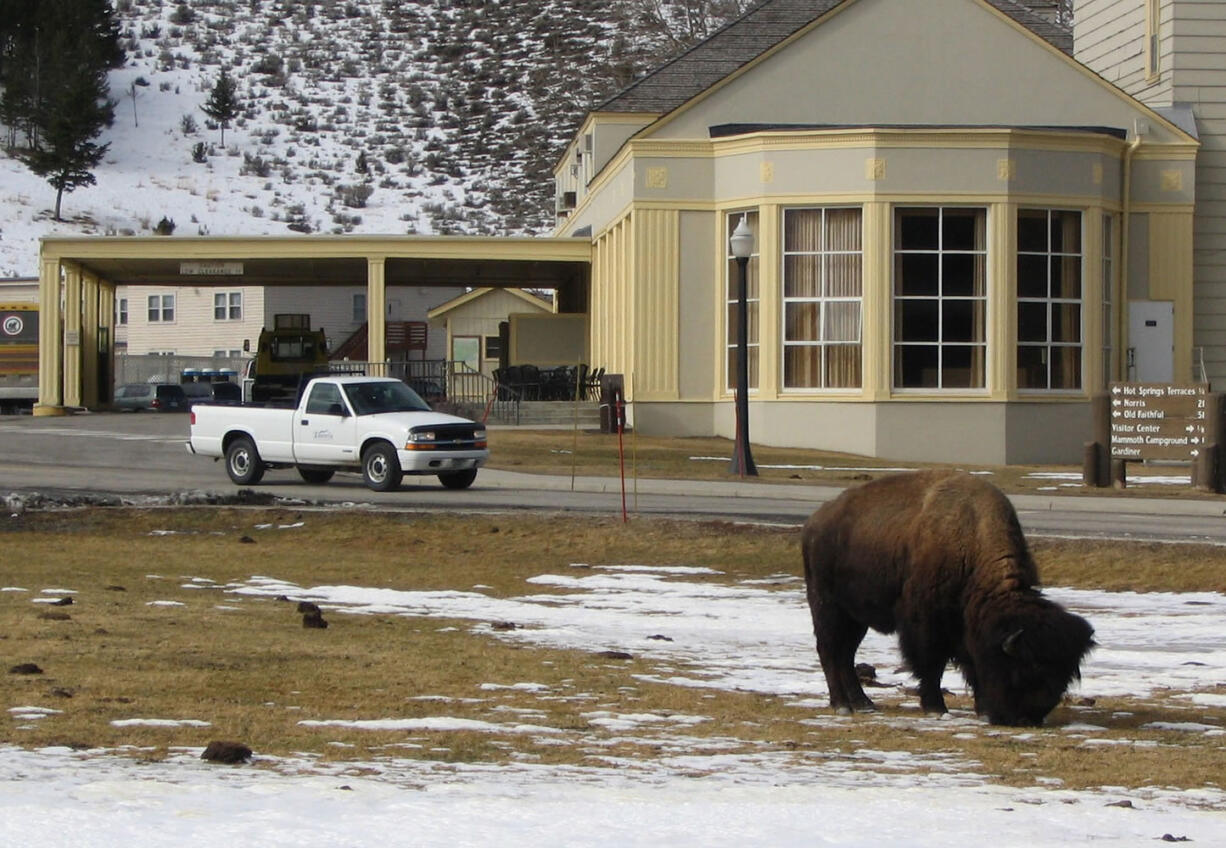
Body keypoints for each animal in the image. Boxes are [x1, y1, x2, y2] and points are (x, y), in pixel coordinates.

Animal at [799, 468, 1098, 725]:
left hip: (856, 618)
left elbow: (970, 665)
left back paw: (863, 703)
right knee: (830, 652)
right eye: (1029, 668)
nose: (1029, 718)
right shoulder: (926, 625)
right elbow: (932, 665)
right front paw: (936, 708)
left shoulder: (966, 628)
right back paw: (842, 706)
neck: (970, 543)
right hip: (829, 608)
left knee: (845, 655)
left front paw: (981, 709)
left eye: (1064, 675)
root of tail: (813, 523)